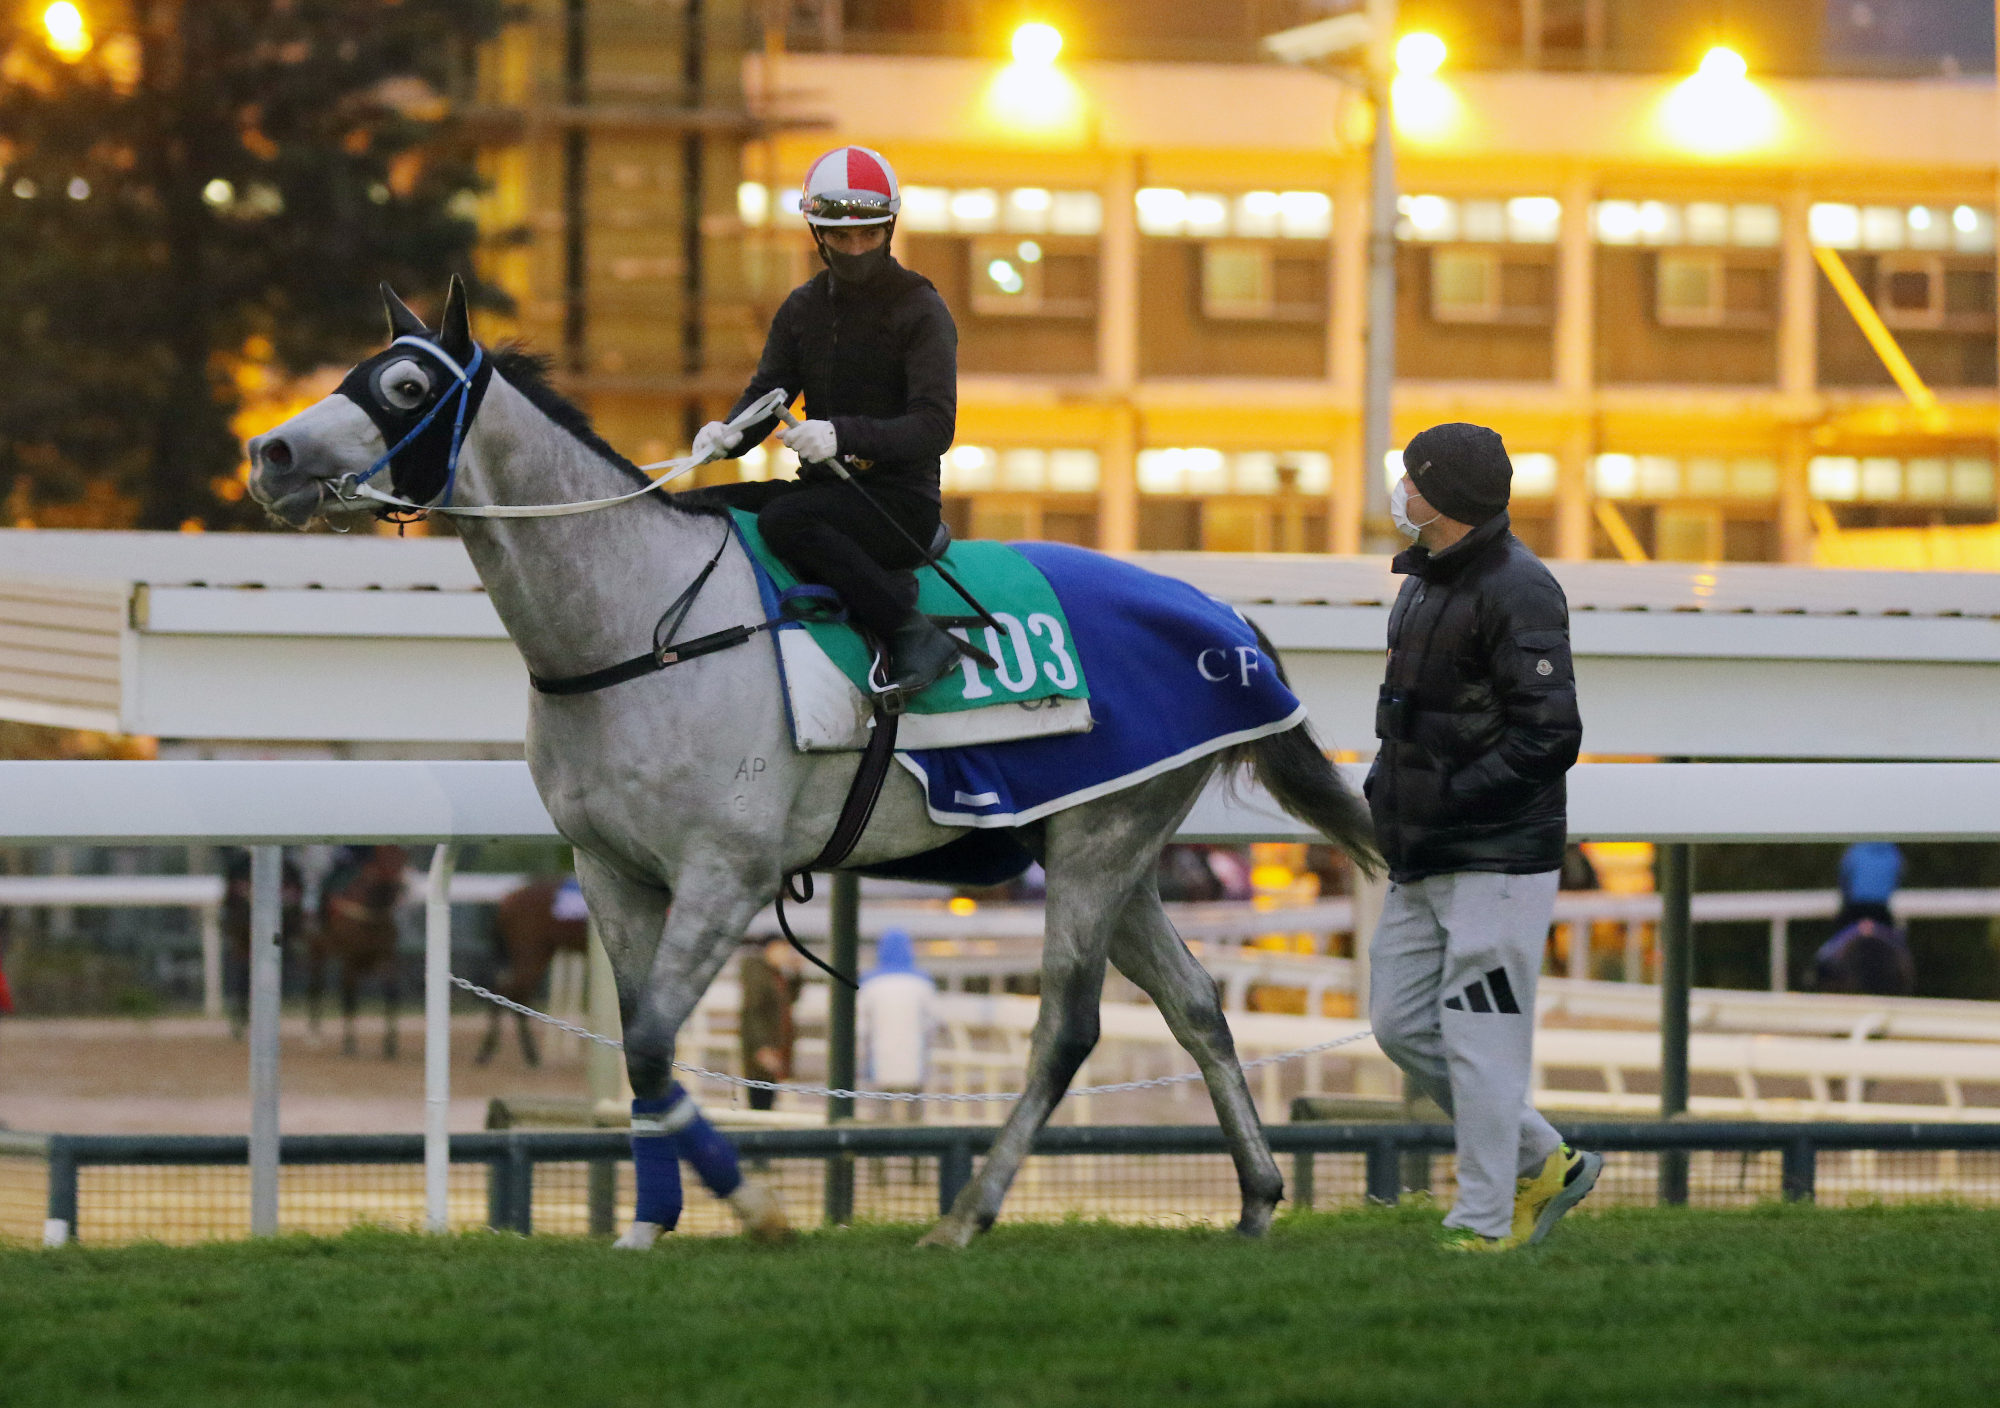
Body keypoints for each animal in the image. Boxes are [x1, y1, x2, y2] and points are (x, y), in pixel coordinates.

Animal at [246, 280, 1376, 1248]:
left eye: (404, 385)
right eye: (360, 366)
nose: (270, 452)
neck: (644, 628)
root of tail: (1223, 615)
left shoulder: (727, 870)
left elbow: (651, 1043)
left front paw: (755, 1208)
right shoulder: (608, 871)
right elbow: (642, 1051)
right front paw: (647, 1223)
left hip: (1103, 842)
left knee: (1065, 1026)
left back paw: (965, 1213)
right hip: (1111, 843)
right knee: (1197, 1007)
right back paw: (1256, 1197)